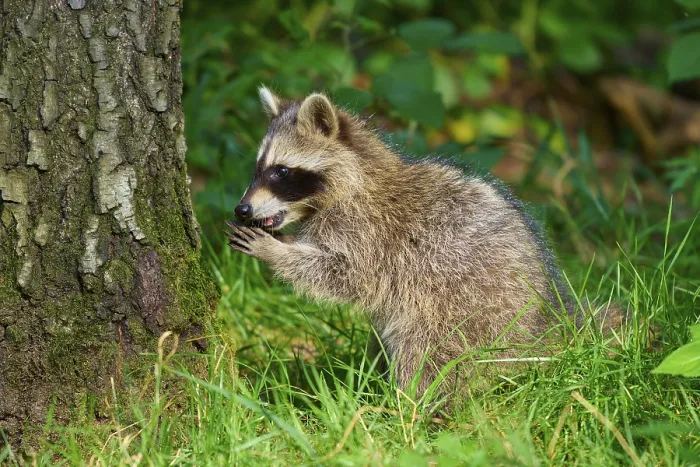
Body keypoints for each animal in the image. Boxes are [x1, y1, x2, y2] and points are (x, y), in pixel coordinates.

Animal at [227, 87, 578, 397]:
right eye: (258, 168)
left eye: (281, 171)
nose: (241, 209)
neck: (356, 179)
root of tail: (544, 328)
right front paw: (283, 240)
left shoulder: (370, 233)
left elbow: (348, 277)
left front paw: (275, 251)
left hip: (468, 313)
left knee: (427, 356)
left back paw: (408, 404)